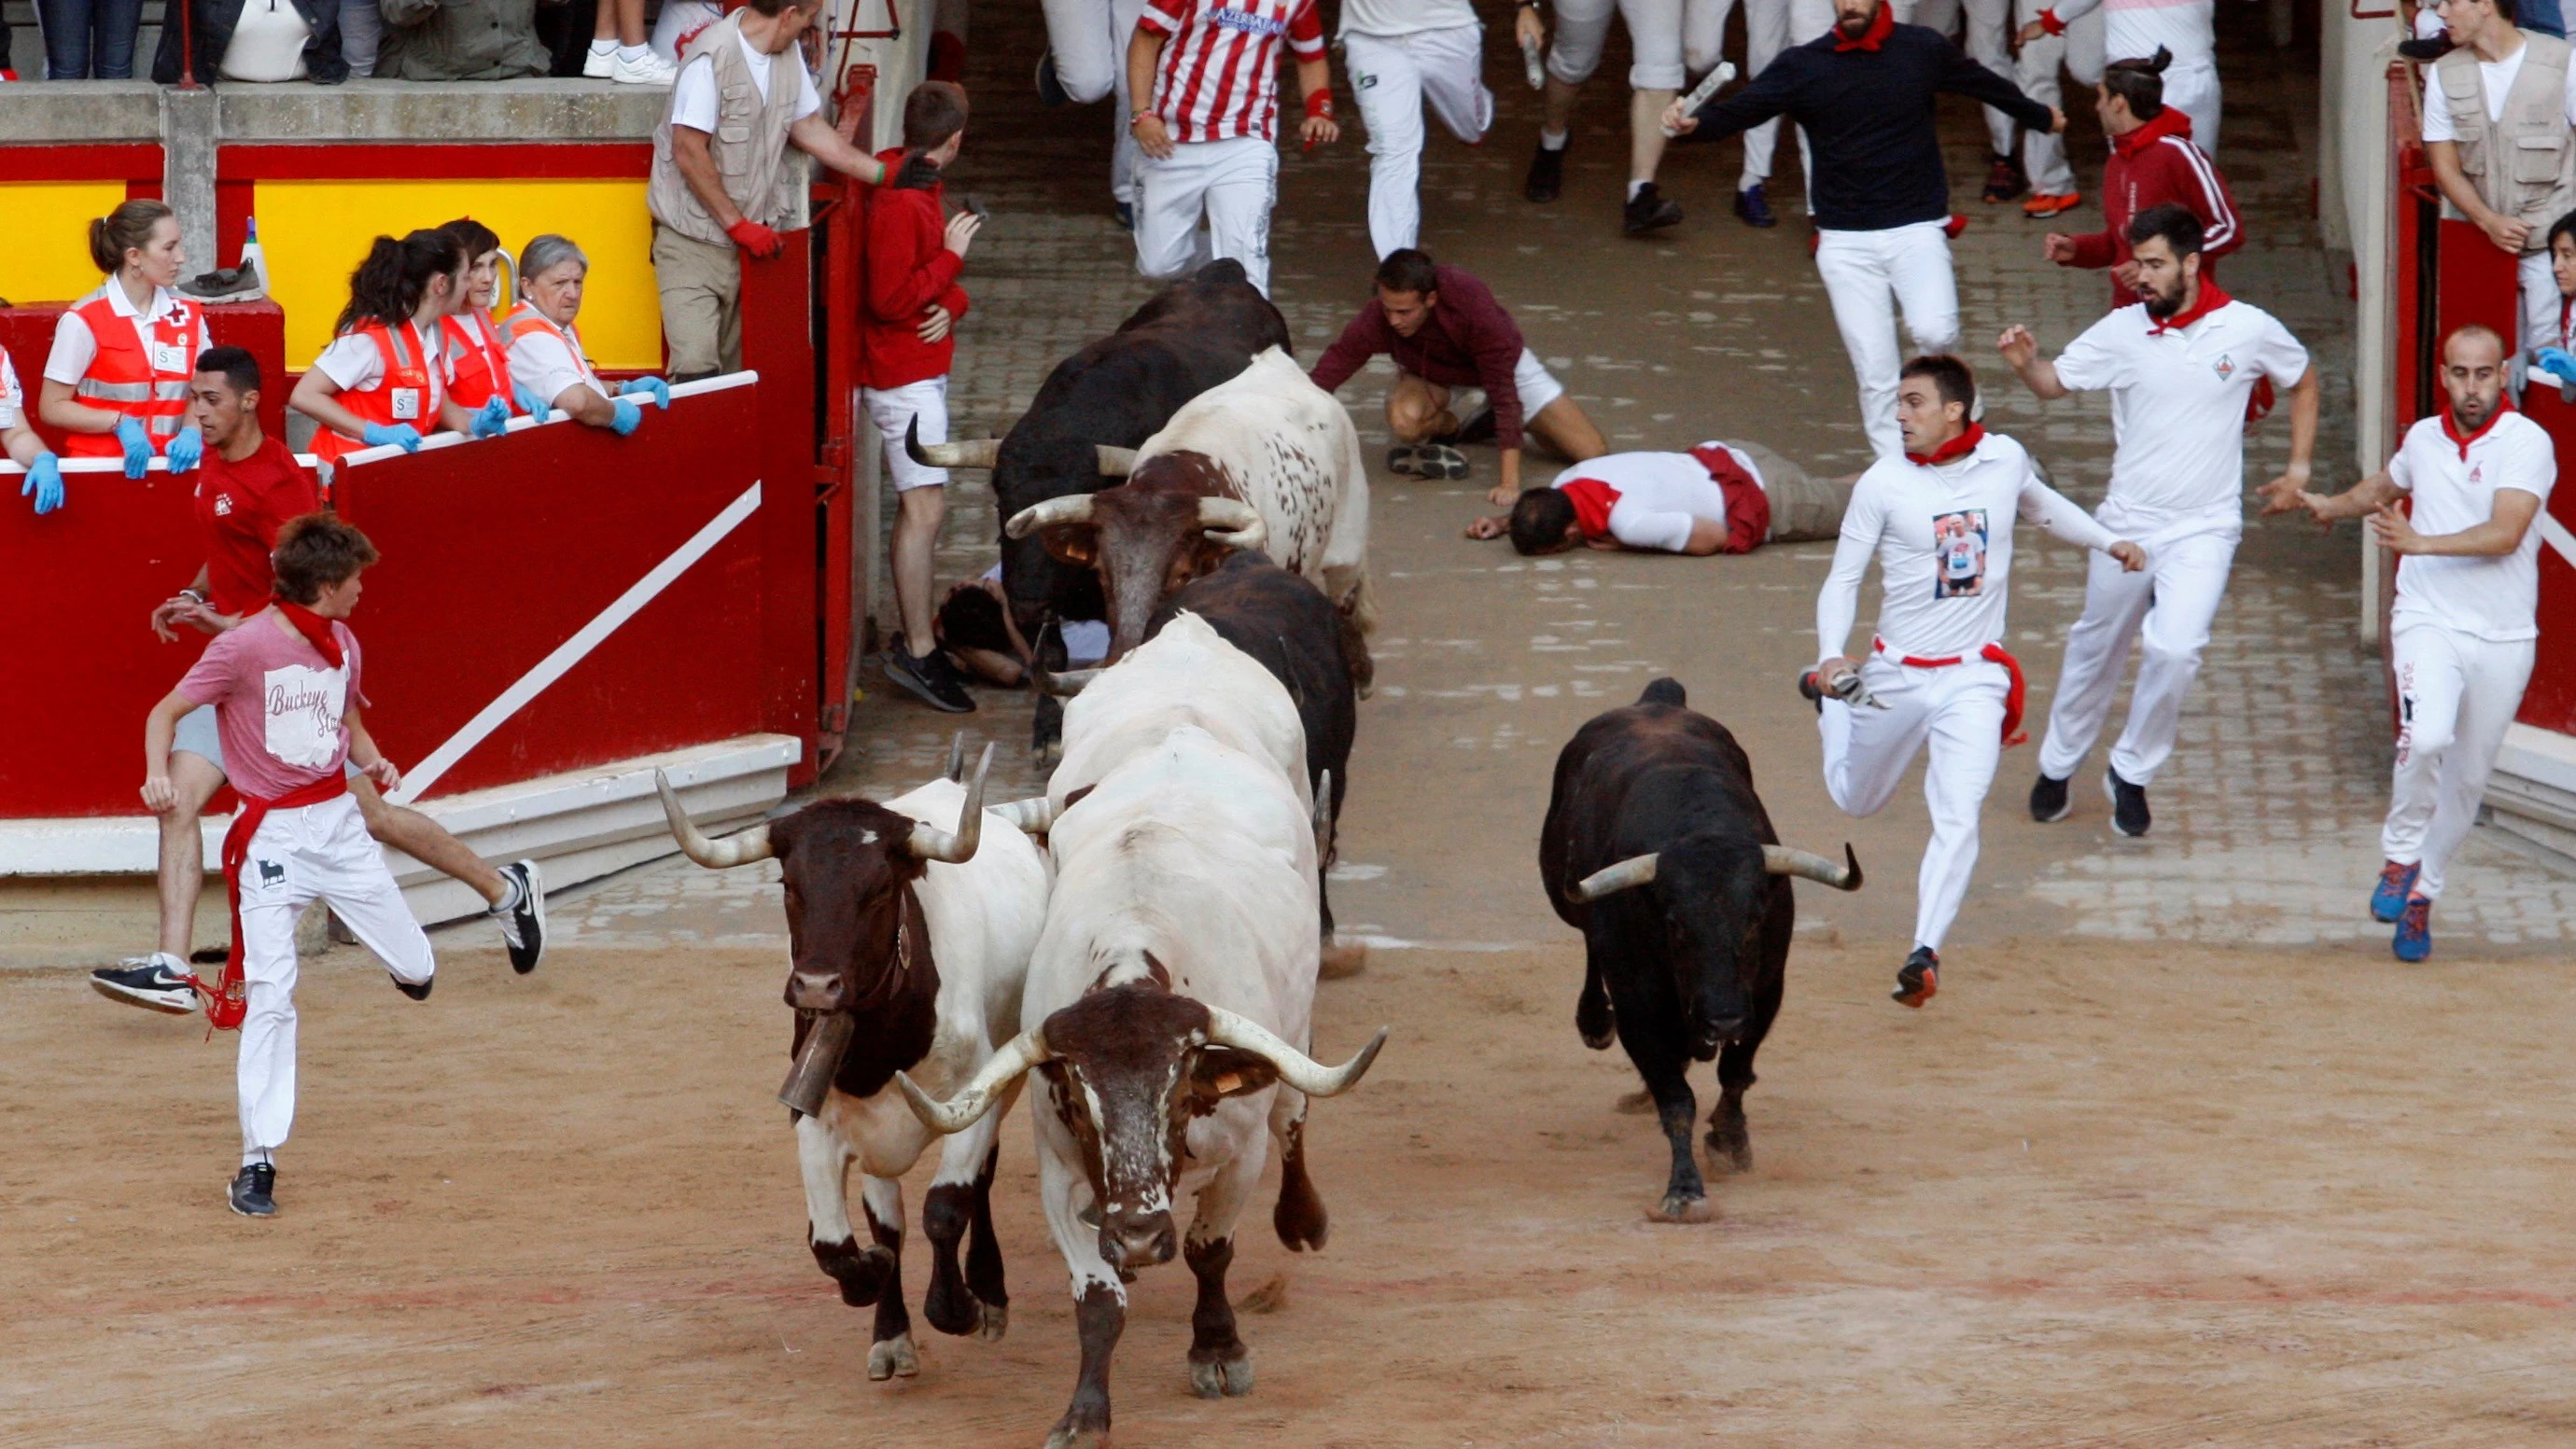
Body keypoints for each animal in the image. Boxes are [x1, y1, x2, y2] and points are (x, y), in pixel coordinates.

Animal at [659, 745, 1051, 1379]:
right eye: (789, 884)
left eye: (879, 889)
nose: (817, 986)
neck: (879, 1048)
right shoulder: (818, 1122)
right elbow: (846, 1244)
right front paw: (882, 1310)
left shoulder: (974, 1100)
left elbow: (946, 1208)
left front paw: (960, 1306)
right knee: (888, 1217)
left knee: (981, 1184)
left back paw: (989, 1290)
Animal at [1534, 679, 1865, 1225]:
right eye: (1675, 926)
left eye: (1755, 919)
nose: (1723, 1020)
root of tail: (1659, 698)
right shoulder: (1639, 1007)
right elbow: (1676, 1100)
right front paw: (1685, 1191)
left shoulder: (1764, 993)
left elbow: (1734, 1072)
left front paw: (1730, 1142)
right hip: (1565, 897)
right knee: (1587, 940)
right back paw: (1594, 1023)